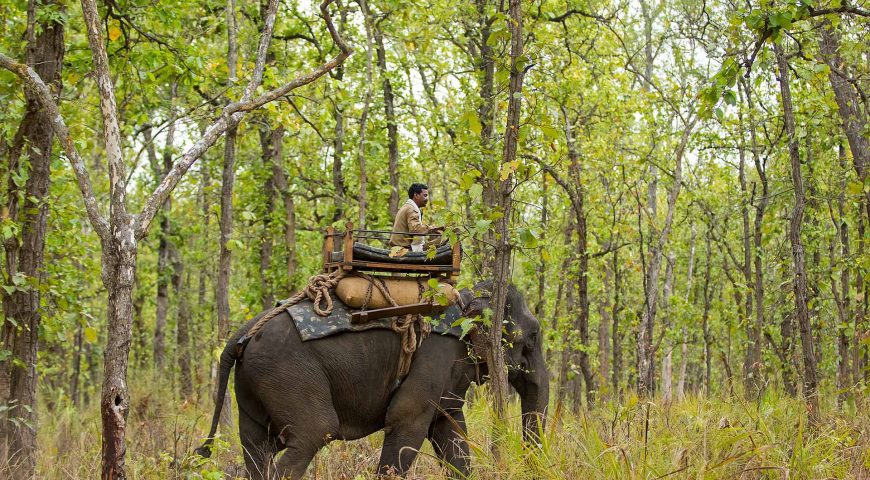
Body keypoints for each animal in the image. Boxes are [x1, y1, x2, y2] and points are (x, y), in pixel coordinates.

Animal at [198, 280, 552, 478]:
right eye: (533, 336)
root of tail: (243, 332)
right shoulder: (435, 354)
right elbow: (406, 419)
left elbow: (450, 431)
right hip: (287, 374)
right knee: (313, 433)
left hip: (255, 382)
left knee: (256, 448)